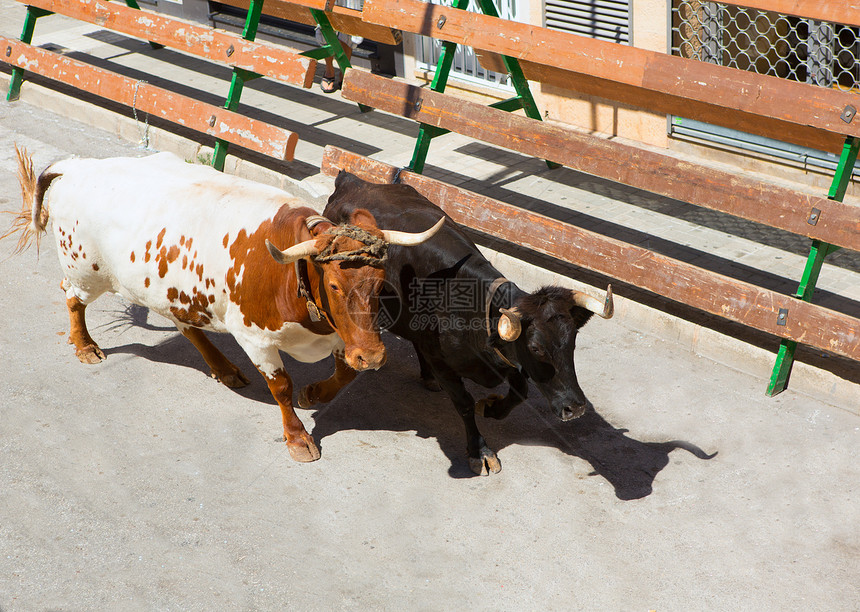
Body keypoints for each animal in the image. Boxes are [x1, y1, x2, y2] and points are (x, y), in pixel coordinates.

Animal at [3, 148, 440, 462]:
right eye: (333, 284)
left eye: (380, 283)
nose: (375, 356)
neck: (291, 274)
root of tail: (78, 166)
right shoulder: (255, 337)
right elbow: (281, 386)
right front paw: (297, 437)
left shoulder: (343, 334)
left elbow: (345, 373)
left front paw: (316, 393)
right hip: (86, 269)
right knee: (72, 298)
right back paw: (84, 345)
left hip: (171, 290)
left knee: (186, 325)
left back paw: (224, 368)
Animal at [322, 170, 612, 476]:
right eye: (536, 348)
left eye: (572, 343)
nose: (575, 407)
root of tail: (352, 180)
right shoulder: (445, 363)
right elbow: (464, 403)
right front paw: (480, 450)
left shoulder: (505, 357)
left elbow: (520, 391)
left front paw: (493, 409)